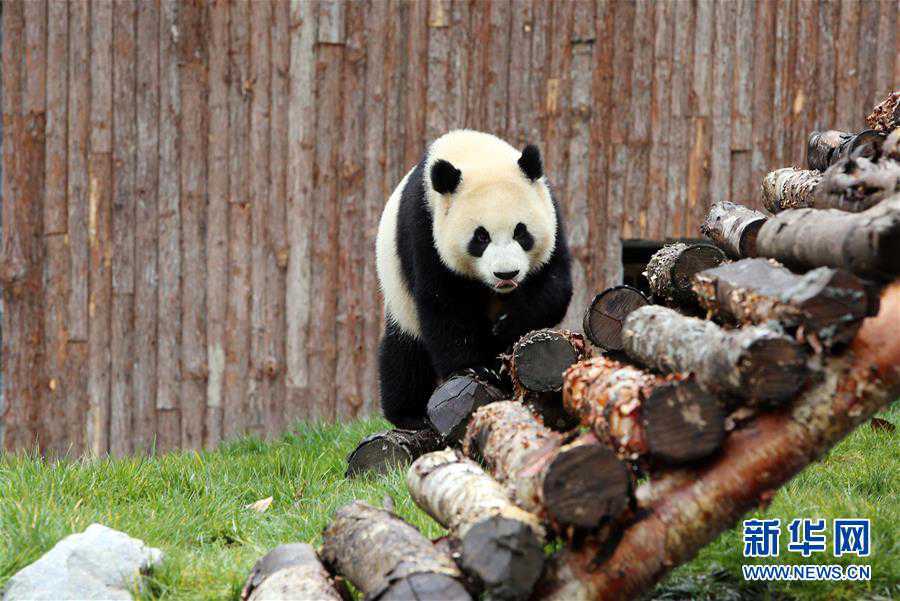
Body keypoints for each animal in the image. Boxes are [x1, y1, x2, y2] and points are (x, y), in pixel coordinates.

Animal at [376, 129, 572, 426]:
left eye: (521, 232)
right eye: (481, 237)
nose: (506, 273)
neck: (475, 154)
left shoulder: (551, 215)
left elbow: (553, 287)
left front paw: (507, 329)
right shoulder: (424, 230)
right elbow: (444, 304)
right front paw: (475, 368)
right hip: (398, 293)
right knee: (405, 350)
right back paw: (408, 413)